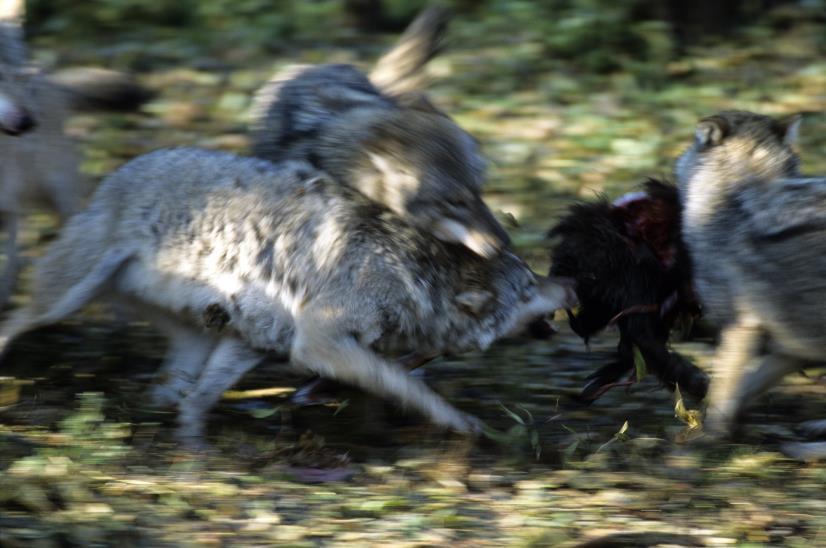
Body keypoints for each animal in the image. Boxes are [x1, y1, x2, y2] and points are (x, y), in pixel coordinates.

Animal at [0, 147, 572, 446]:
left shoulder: (256, 340)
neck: (410, 273)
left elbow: (203, 399)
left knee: (170, 389)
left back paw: (173, 434)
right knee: (15, 319)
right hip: (64, 297)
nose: (568, 278)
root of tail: (124, 165)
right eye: (528, 285)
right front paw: (461, 425)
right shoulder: (319, 345)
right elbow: (408, 384)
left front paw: (195, 449)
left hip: (197, 337)